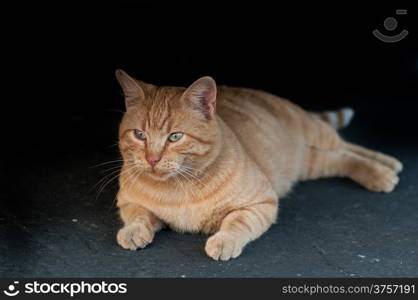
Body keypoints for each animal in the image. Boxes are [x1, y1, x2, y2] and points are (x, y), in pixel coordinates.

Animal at [114, 69, 402, 260]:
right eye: (139, 135)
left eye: (175, 137)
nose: (152, 159)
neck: (179, 188)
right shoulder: (127, 201)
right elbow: (139, 214)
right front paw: (133, 231)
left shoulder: (262, 202)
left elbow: (237, 222)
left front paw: (224, 241)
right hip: (308, 164)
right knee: (338, 157)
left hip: (316, 133)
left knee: (347, 146)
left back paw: (387, 167)